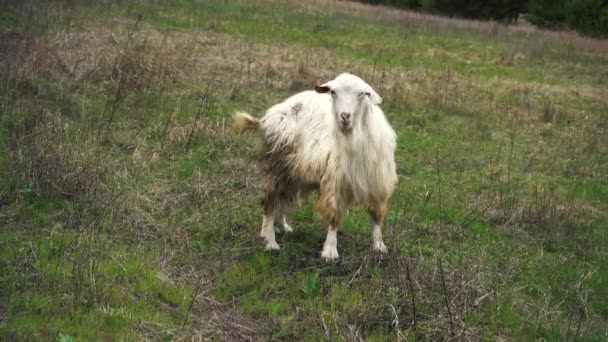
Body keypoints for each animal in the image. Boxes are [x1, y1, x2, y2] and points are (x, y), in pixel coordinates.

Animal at [234, 71, 400, 260]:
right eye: (333, 92)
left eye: (362, 94)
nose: (345, 116)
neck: (355, 139)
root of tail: (266, 118)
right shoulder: (335, 181)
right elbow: (334, 215)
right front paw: (330, 251)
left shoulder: (378, 181)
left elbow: (376, 217)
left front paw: (379, 246)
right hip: (277, 167)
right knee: (270, 201)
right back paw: (270, 241)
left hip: (293, 172)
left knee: (282, 199)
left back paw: (281, 226)